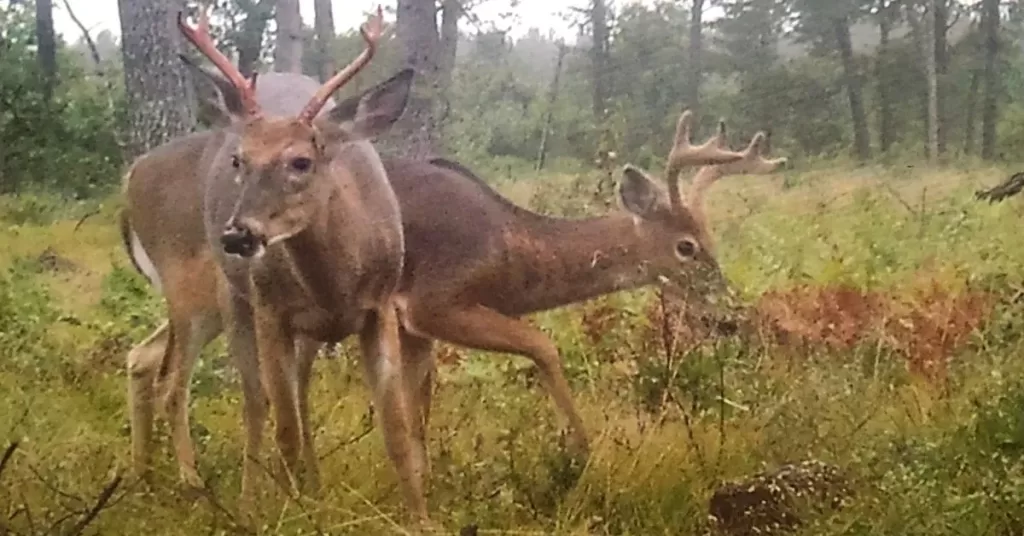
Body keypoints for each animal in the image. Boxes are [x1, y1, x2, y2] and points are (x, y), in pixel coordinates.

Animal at [120, 6, 430, 522]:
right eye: (238, 160)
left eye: (301, 161)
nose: (236, 234)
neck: (337, 283)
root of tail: (128, 181)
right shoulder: (272, 310)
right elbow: (282, 423)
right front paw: (294, 515)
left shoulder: (380, 306)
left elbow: (396, 430)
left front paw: (420, 518)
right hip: (207, 295)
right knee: (224, 395)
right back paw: (214, 492)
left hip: (211, 308)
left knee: (144, 358)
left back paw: (144, 478)